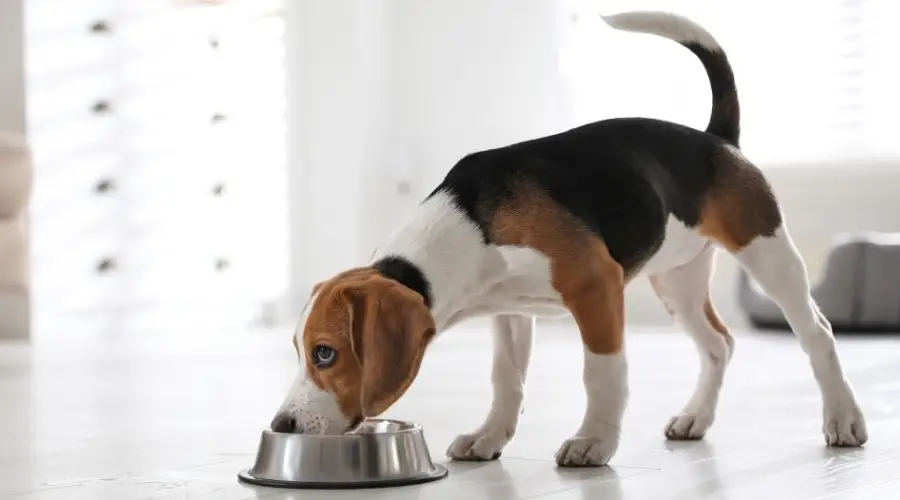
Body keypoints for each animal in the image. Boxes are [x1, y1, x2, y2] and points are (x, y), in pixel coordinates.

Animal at [270, 9, 868, 466]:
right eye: (301, 351)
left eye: (325, 353)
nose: (282, 425)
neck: (471, 224)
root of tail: (716, 139)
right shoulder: (511, 311)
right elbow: (506, 379)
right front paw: (490, 437)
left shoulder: (596, 287)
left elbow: (601, 375)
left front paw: (593, 442)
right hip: (676, 280)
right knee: (719, 344)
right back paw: (696, 418)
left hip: (766, 252)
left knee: (817, 333)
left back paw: (843, 418)